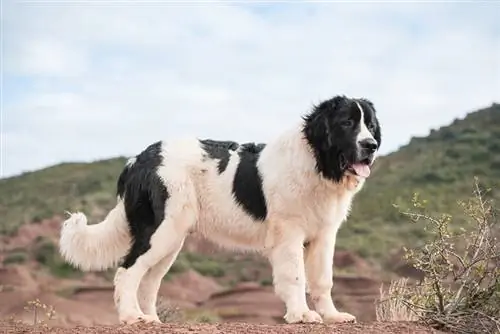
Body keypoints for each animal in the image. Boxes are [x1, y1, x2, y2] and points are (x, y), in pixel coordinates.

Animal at [60, 95, 382, 324]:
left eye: (370, 125)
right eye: (346, 123)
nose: (371, 145)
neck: (317, 161)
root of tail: (138, 158)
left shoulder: (324, 235)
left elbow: (323, 279)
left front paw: (332, 315)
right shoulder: (289, 233)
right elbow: (295, 276)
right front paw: (301, 315)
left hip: (171, 240)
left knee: (148, 281)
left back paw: (152, 319)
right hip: (160, 231)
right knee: (127, 272)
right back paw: (132, 317)